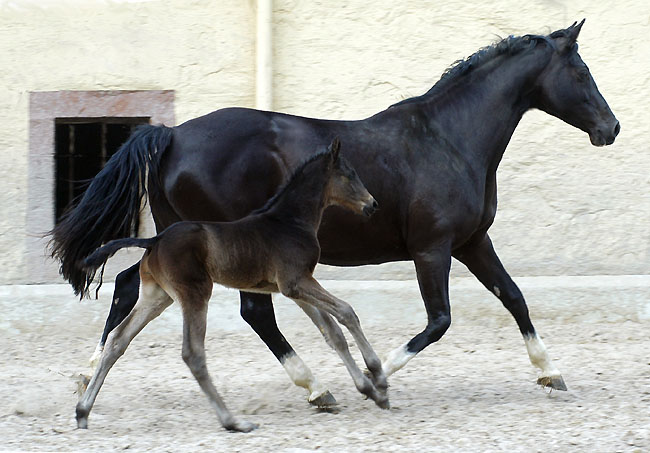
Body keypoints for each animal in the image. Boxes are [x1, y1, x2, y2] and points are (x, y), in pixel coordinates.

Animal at [78, 138, 388, 430]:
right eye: (349, 174)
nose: (372, 204)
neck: (290, 222)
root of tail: (155, 239)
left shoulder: (296, 288)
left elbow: (333, 333)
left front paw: (370, 390)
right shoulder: (297, 281)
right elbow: (347, 312)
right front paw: (378, 378)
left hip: (157, 296)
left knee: (118, 340)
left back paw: (82, 411)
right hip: (195, 293)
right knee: (192, 353)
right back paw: (233, 421)